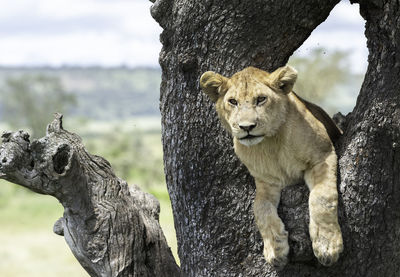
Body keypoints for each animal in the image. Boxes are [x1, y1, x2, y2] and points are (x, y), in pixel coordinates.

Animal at [200, 64, 344, 268]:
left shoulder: (322, 156)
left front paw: (327, 246)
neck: (270, 144)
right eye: (233, 102)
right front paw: (275, 249)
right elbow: (260, 209)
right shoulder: (266, 181)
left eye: (261, 99)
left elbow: (321, 198)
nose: (246, 127)